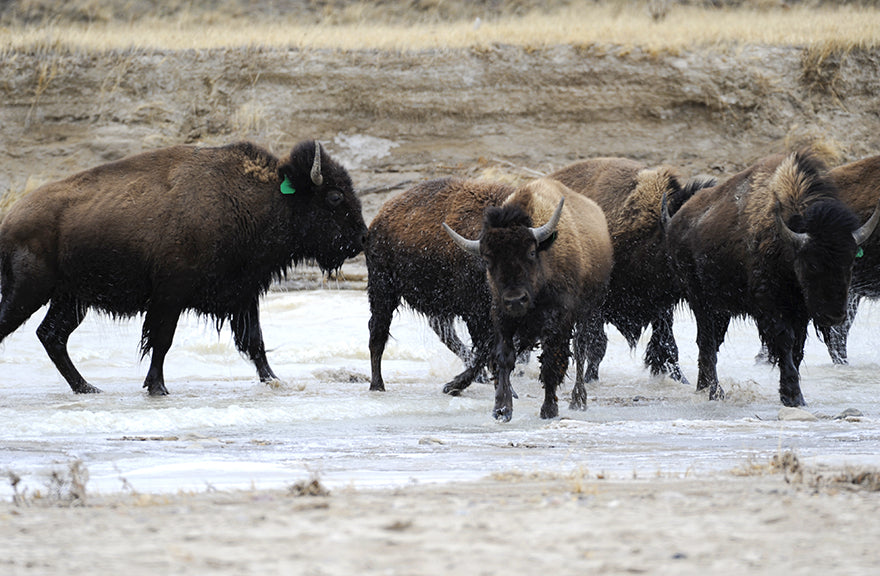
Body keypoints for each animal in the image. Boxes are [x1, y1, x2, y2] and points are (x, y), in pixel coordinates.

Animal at [0, 138, 366, 396]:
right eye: (335, 197)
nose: (361, 237)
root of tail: (10, 220)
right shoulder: (170, 296)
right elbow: (161, 340)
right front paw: (158, 387)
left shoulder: (242, 294)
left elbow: (255, 343)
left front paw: (274, 380)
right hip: (29, 292)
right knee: (27, 329)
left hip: (71, 299)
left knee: (52, 336)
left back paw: (88, 388)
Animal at [366, 178, 516, 394]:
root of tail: (377, 220)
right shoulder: (476, 313)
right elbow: (486, 346)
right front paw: (454, 385)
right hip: (382, 289)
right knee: (377, 333)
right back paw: (377, 385)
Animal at [440, 178, 612, 420]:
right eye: (488, 259)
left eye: (531, 252)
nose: (515, 300)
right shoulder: (502, 318)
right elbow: (502, 358)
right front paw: (502, 409)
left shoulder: (558, 322)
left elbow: (551, 363)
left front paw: (548, 409)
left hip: (588, 312)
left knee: (581, 351)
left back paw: (578, 400)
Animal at [552, 158, 716, 382]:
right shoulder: (596, 307)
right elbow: (596, 345)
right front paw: (589, 379)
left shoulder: (661, 307)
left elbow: (666, 346)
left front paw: (680, 379)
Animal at [668, 151, 880, 408]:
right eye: (812, 263)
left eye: (851, 261)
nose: (835, 315)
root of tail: (677, 221)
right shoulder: (773, 308)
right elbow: (785, 344)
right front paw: (793, 396)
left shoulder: (801, 314)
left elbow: (797, 350)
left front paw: (791, 393)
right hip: (702, 303)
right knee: (707, 343)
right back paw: (715, 392)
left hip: (721, 310)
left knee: (711, 344)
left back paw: (704, 387)